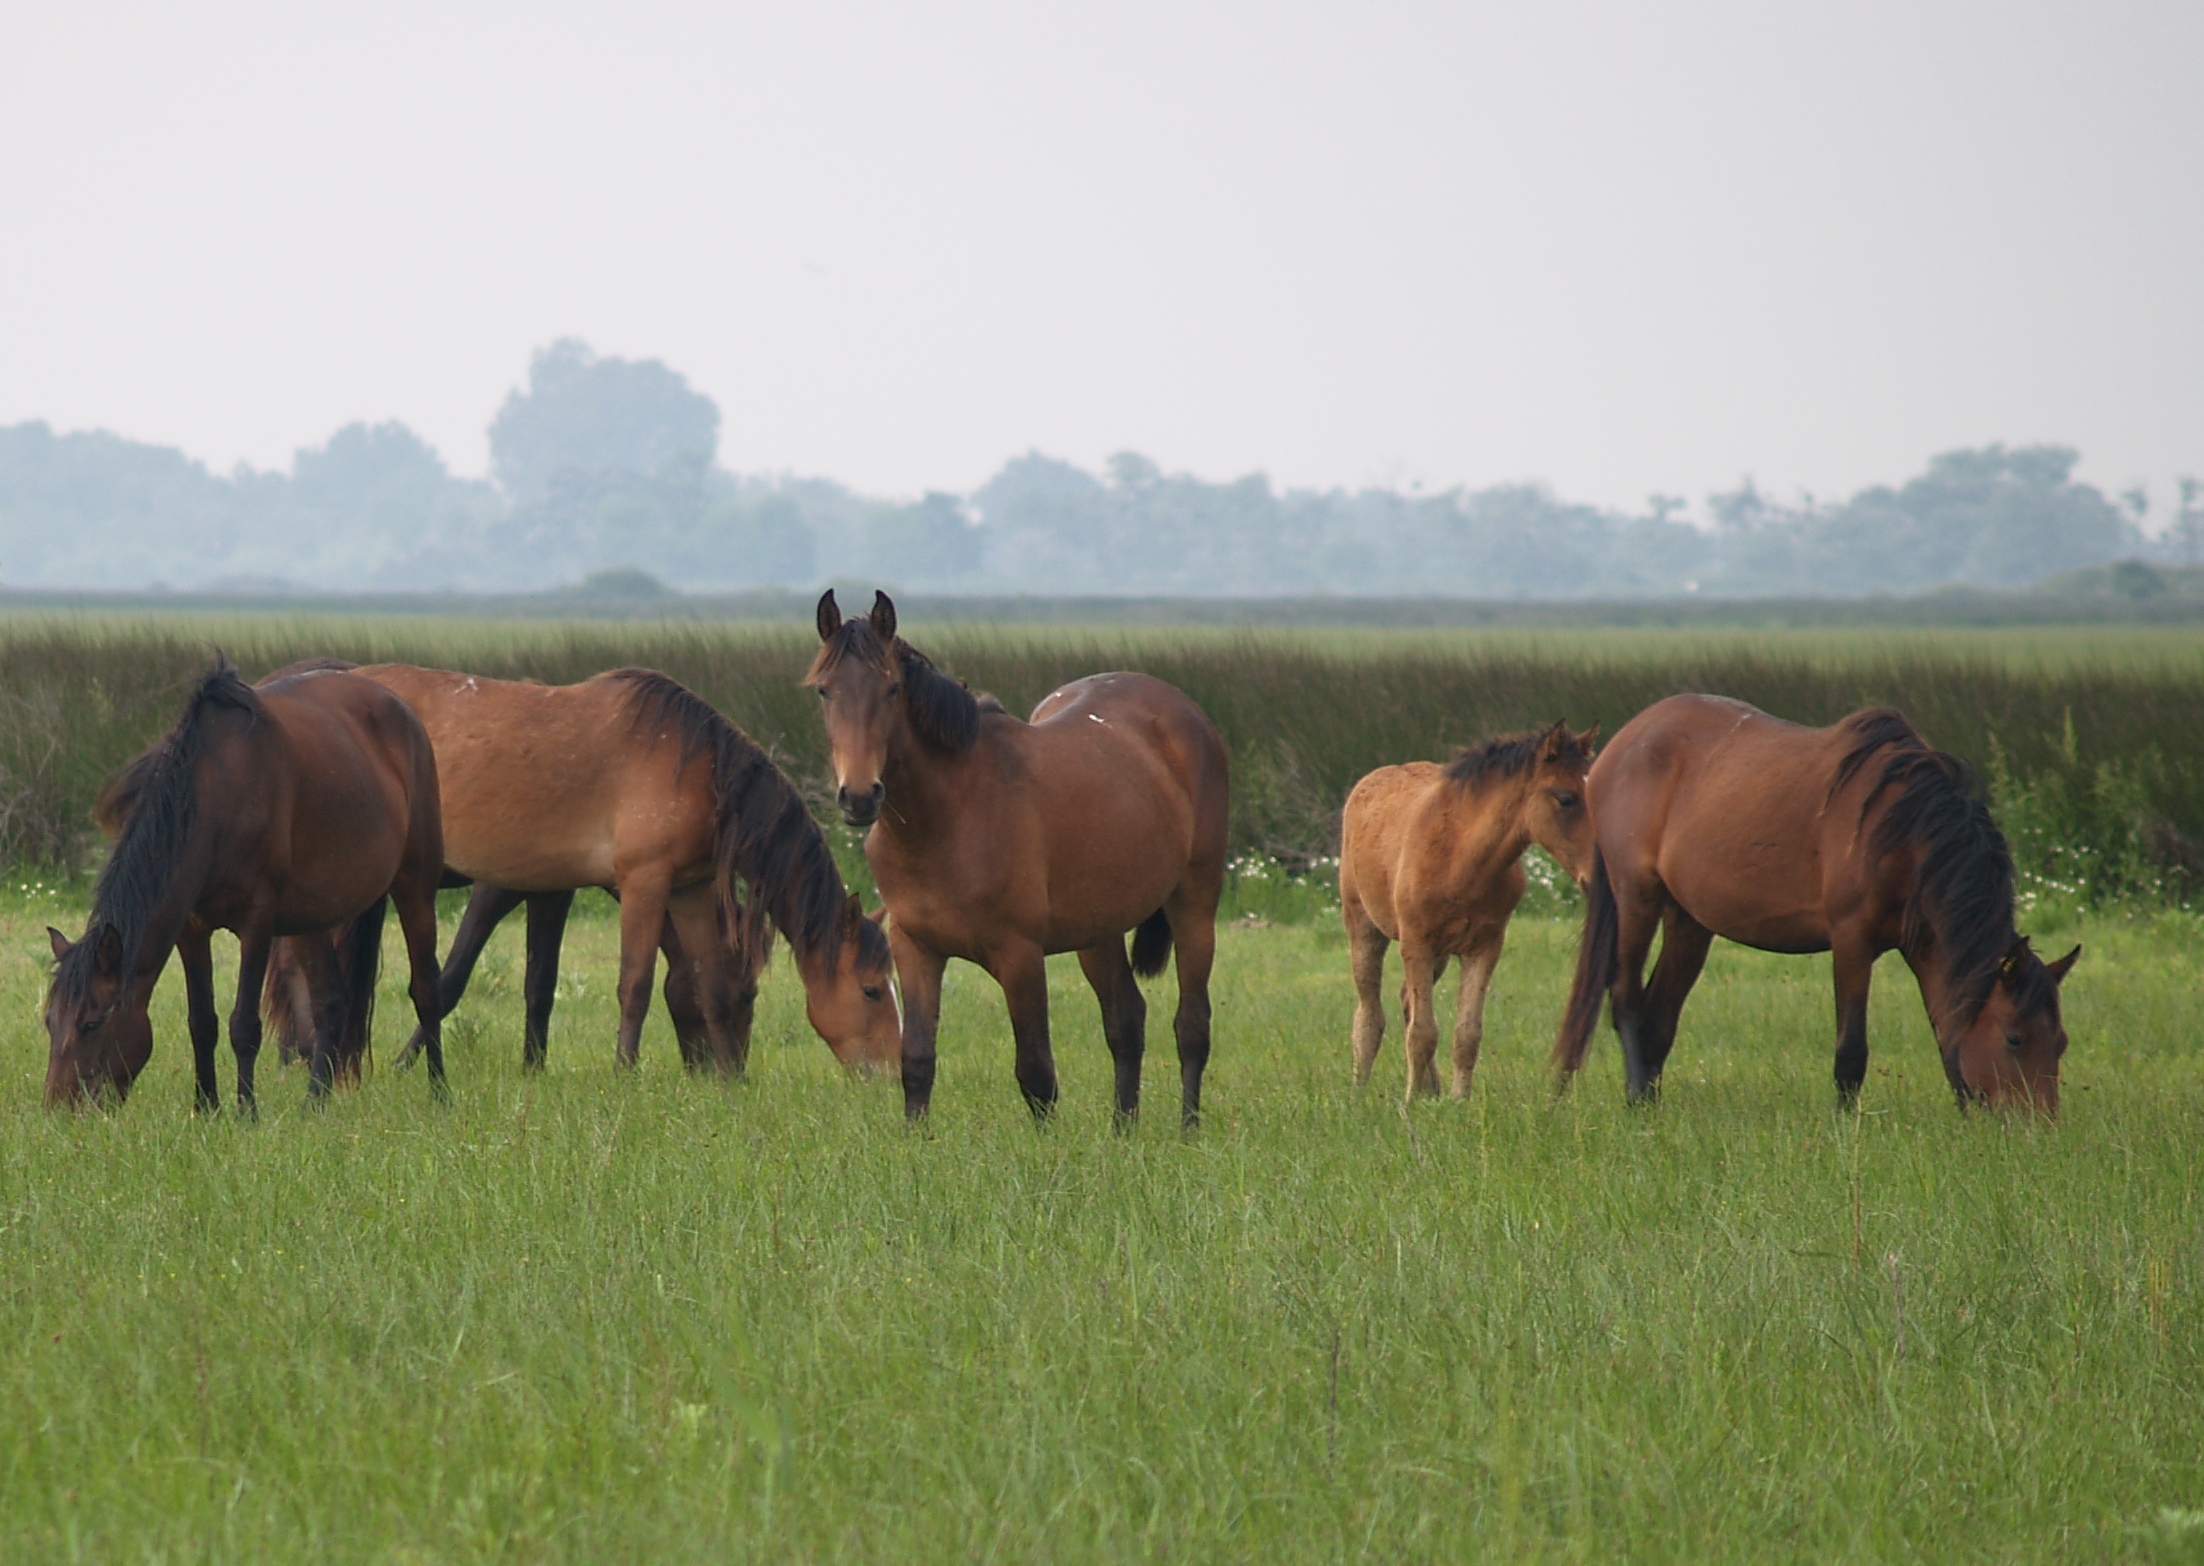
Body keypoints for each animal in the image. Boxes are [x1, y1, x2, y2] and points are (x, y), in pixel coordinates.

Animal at [51, 656, 445, 1110]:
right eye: (49, 1022)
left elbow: (244, 1025)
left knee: (426, 989)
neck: (215, 795)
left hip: (415, 887)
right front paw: (205, 1107)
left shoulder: (257, 923)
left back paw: (440, 1093)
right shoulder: (192, 928)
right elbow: (201, 1021)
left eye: (91, 1024)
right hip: (309, 917)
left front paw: (246, 1111)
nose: (57, 1109)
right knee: (330, 1002)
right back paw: (314, 1103)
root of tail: (401, 708)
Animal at [811, 590, 1234, 1127]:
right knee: (1126, 1020)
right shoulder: (916, 949)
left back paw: (1187, 1130)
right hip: (1098, 932)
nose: (860, 797)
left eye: (891, 689)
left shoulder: (1020, 957)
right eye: (824, 691)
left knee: (1192, 1025)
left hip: (1194, 906)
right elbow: (918, 1062)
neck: (950, 815)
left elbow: (1036, 1073)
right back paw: (1123, 1131)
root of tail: (1184, 712)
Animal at [1340, 722, 1604, 1101]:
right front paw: (1409, 1104)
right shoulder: (1416, 943)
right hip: (1364, 927)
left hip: (1439, 952)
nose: (1598, 877)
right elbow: (1422, 1032)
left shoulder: (1485, 946)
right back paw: (1360, 1088)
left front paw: (1458, 1102)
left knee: (1406, 1000)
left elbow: (1466, 1035)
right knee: (1370, 1012)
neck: (1461, 859)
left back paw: (1431, 1089)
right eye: (1565, 798)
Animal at [1551, 700, 2080, 1114]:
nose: (2039, 1127)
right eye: (2014, 1037)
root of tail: (1621, 744)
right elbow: (1851, 1051)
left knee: (1659, 1017)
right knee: (1625, 1000)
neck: (1904, 832)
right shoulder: (1851, 941)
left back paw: (1651, 1103)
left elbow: (1948, 1032)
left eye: (2061, 1042)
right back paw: (1637, 1101)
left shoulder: (1923, 945)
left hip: (1690, 920)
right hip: (1636, 897)